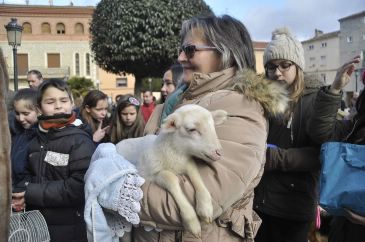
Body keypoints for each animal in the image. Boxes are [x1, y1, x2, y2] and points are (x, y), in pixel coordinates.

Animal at [115, 104, 226, 236]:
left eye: (212, 126)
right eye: (192, 129)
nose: (218, 152)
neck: (175, 154)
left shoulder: (186, 162)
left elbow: (195, 174)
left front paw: (205, 207)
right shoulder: (149, 174)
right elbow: (171, 179)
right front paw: (192, 221)